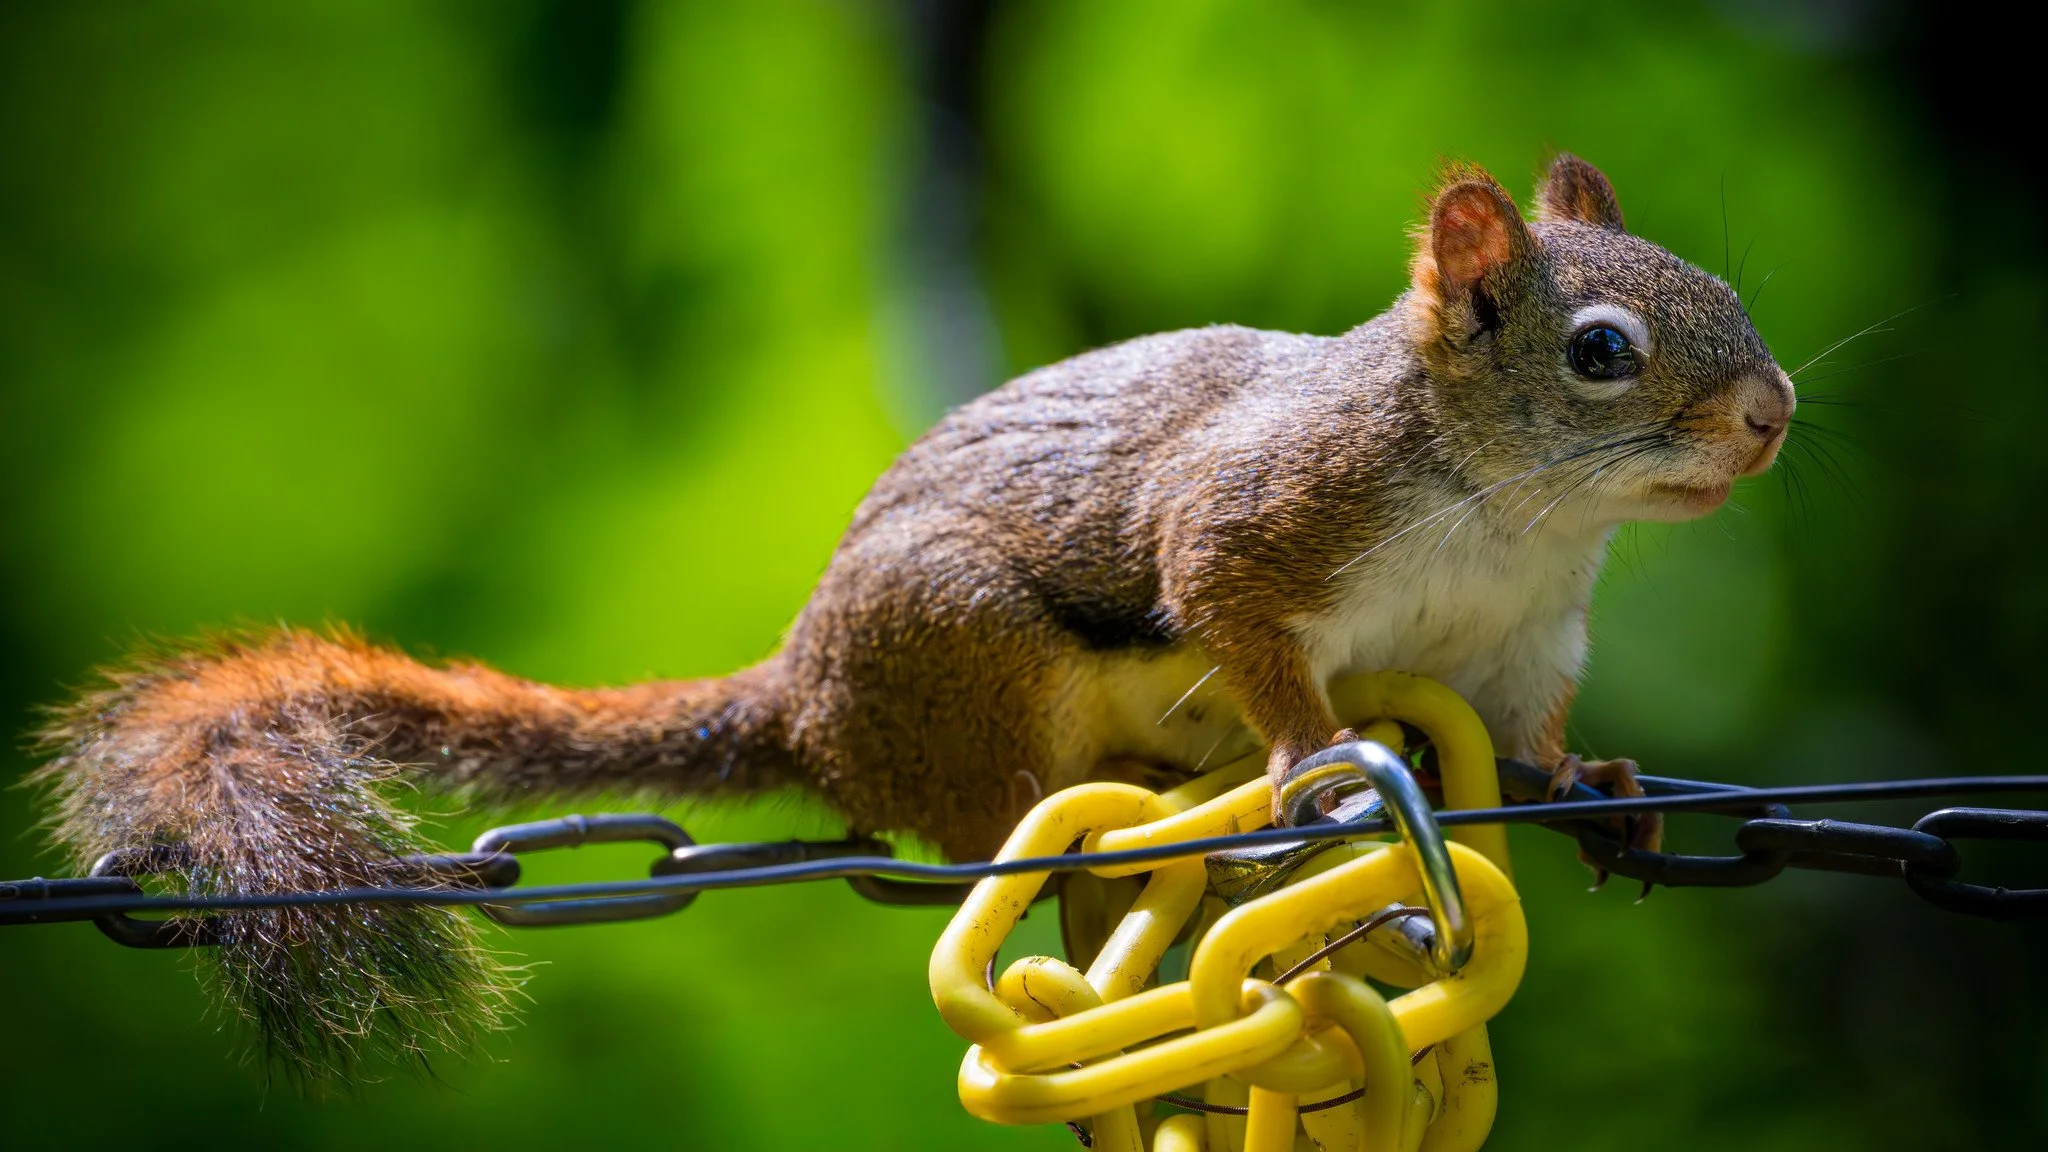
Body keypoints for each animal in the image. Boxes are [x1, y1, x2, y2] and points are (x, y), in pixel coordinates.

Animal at [33, 154, 1790, 1079]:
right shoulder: (1262, 518)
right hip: (965, 653)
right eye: (1605, 351)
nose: (1773, 416)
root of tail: (806, 697)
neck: (1519, 519)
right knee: (995, 829)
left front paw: (1597, 787)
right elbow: (1235, 615)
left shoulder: (1519, 641)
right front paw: (1310, 762)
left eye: (1731, 292)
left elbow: (1529, 737)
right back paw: (1083, 859)